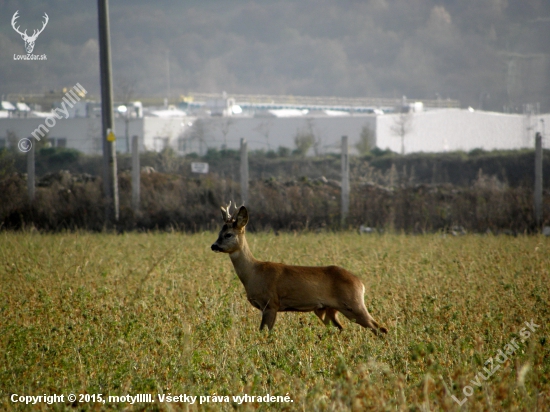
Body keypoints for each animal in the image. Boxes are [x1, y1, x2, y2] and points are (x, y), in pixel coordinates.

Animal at [210, 203, 388, 334]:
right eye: (219, 233)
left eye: (228, 235)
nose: (214, 246)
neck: (254, 273)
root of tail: (360, 283)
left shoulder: (271, 303)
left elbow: (264, 332)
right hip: (326, 310)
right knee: (341, 329)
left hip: (353, 303)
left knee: (380, 328)